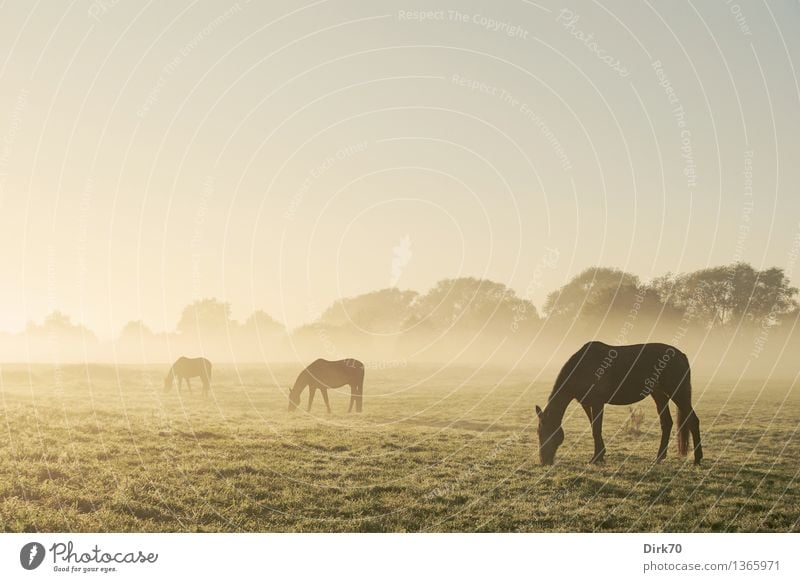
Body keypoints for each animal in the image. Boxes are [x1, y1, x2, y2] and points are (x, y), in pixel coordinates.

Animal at [536, 344, 704, 468]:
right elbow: (593, 427)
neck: (582, 367)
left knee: (693, 421)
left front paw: (596, 458)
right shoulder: (586, 404)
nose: (544, 461)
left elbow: (596, 429)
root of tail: (681, 355)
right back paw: (659, 457)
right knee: (667, 422)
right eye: (539, 433)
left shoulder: (597, 403)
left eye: (547, 432)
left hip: (678, 393)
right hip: (659, 394)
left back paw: (697, 459)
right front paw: (600, 455)